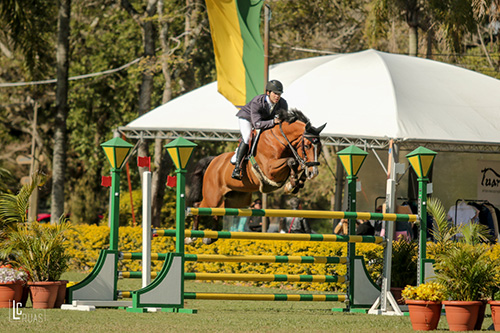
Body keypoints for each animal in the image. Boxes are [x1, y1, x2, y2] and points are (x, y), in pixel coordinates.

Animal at [186, 107, 326, 232]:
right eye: (307, 146)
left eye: (319, 148)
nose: (314, 173)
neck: (279, 140)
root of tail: (213, 161)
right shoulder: (270, 170)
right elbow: (291, 161)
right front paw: (292, 183)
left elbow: (297, 163)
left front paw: (295, 184)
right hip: (213, 196)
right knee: (199, 206)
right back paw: (192, 235)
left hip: (236, 199)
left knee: (221, 209)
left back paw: (209, 236)